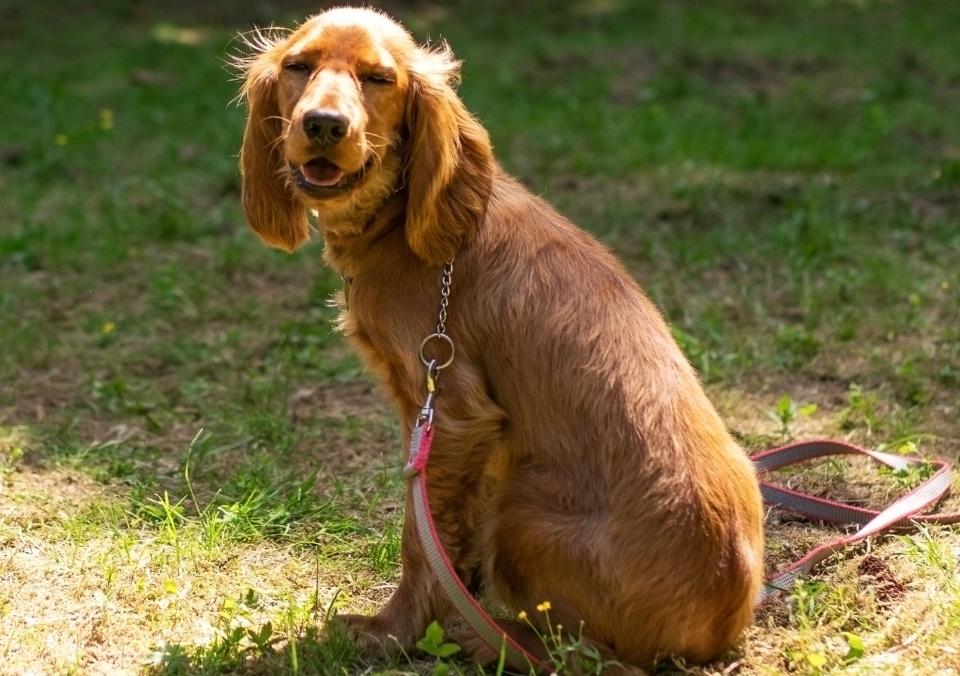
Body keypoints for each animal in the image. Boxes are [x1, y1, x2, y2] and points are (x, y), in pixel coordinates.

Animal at [238, 6, 764, 672]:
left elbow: (420, 536)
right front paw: (451, 599)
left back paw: (493, 638)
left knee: (601, 657)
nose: (323, 125)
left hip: (523, 513)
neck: (402, 225)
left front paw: (395, 630)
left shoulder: (451, 409)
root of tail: (727, 622)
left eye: (379, 78)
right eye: (298, 67)